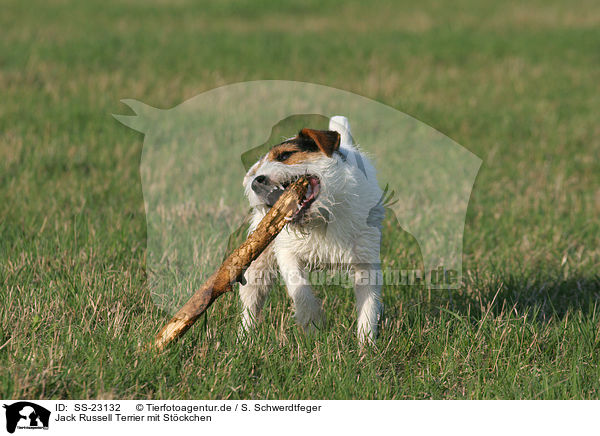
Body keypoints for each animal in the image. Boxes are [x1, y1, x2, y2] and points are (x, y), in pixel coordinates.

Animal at [238, 116, 382, 344]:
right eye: (261, 167)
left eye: (285, 155)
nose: (254, 181)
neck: (321, 218)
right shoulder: (286, 252)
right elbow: (299, 287)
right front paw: (313, 324)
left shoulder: (366, 260)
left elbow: (369, 303)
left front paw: (366, 344)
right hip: (258, 264)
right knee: (251, 303)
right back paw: (244, 339)